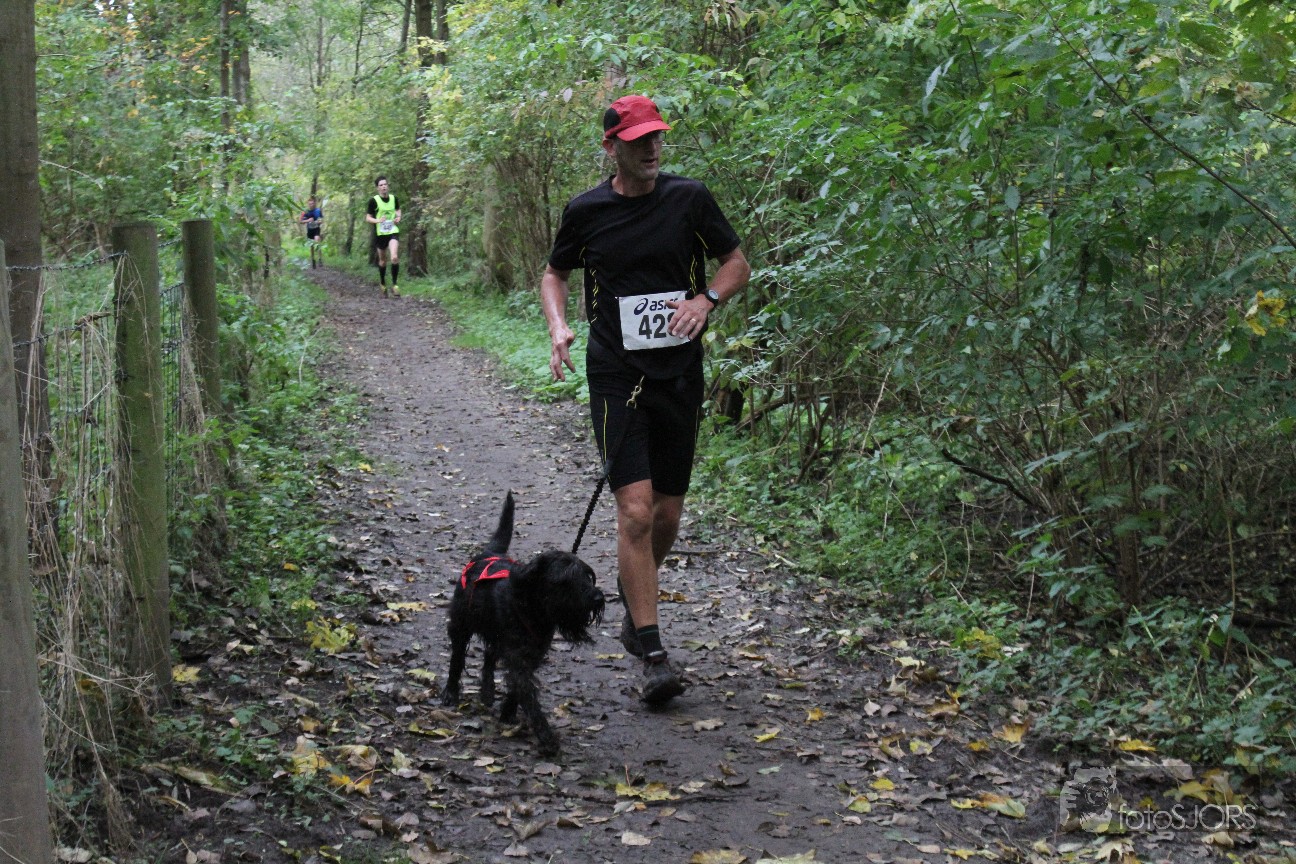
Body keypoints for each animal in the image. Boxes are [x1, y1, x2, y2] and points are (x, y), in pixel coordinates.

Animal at [439, 491, 604, 756]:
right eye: (565, 580)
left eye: (587, 575)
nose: (597, 598)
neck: (536, 611)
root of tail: (489, 552)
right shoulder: (519, 657)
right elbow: (526, 692)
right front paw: (547, 737)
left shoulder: (532, 654)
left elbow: (518, 688)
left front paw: (508, 713)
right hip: (461, 624)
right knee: (457, 658)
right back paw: (451, 692)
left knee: (489, 656)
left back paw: (487, 691)